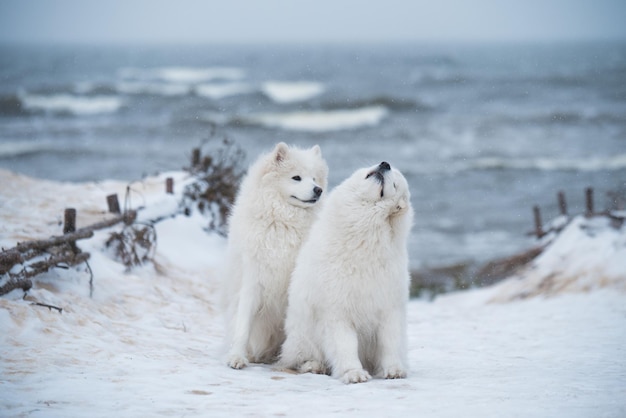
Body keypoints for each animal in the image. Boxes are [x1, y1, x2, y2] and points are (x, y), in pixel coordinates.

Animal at [222, 143, 330, 370]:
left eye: (314, 178)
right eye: (296, 177)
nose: (318, 190)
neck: (285, 223)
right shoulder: (252, 281)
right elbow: (242, 326)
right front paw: (237, 357)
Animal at [278, 162, 410, 384]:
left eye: (394, 183)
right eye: (375, 168)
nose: (385, 164)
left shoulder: (388, 307)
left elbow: (390, 342)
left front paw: (394, 370)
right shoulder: (337, 310)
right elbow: (345, 345)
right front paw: (353, 373)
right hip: (303, 334)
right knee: (302, 356)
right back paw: (314, 365)